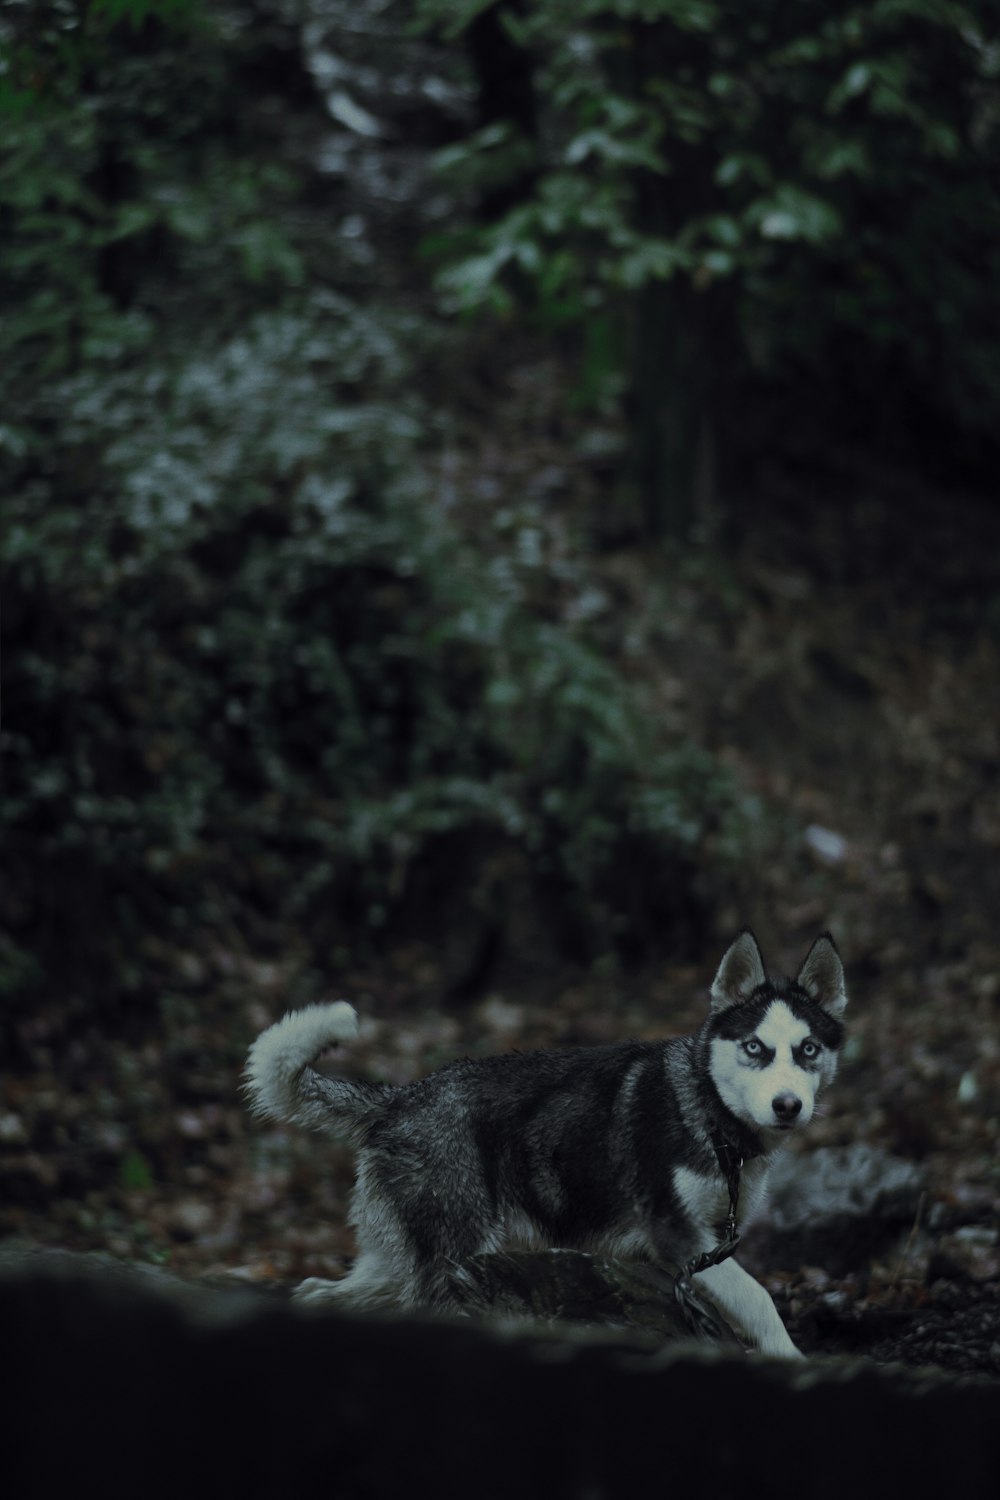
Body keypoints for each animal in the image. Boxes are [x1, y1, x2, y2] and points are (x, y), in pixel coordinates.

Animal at [242, 930, 845, 1356]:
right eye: (755, 1048)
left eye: (809, 1049)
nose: (788, 1106)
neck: (708, 1109)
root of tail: (400, 1098)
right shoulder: (679, 1237)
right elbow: (759, 1298)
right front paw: (791, 1357)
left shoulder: (708, 1237)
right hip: (455, 1250)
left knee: (355, 1287)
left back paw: (319, 1296)